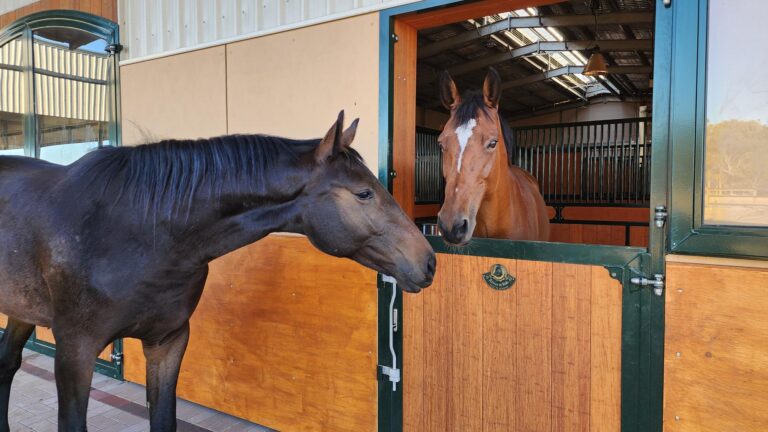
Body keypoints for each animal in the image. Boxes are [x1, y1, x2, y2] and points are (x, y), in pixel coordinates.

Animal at [0, 111, 435, 432]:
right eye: (363, 193)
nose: (428, 261)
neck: (140, 229)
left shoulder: (168, 341)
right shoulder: (74, 349)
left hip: (21, 310)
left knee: (7, 362)